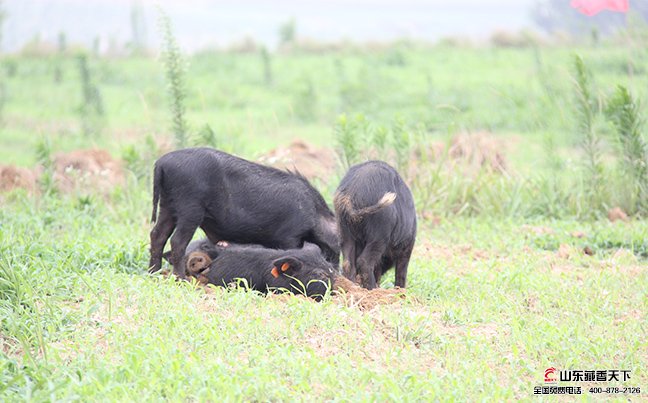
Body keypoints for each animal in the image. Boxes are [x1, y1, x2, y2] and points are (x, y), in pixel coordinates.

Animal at [147, 148, 340, 278]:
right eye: (336, 247)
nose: (338, 272)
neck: (315, 215)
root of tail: (161, 163)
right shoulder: (289, 236)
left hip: (167, 206)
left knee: (157, 235)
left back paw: (153, 273)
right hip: (190, 209)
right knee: (177, 241)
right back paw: (180, 278)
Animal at [332, 161, 418, 290]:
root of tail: (352, 193)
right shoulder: (406, 247)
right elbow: (401, 273)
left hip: (344, 230)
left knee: (348, 263)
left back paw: (353, 287)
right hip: (379, 235)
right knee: (364, 261)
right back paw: (371, 289)